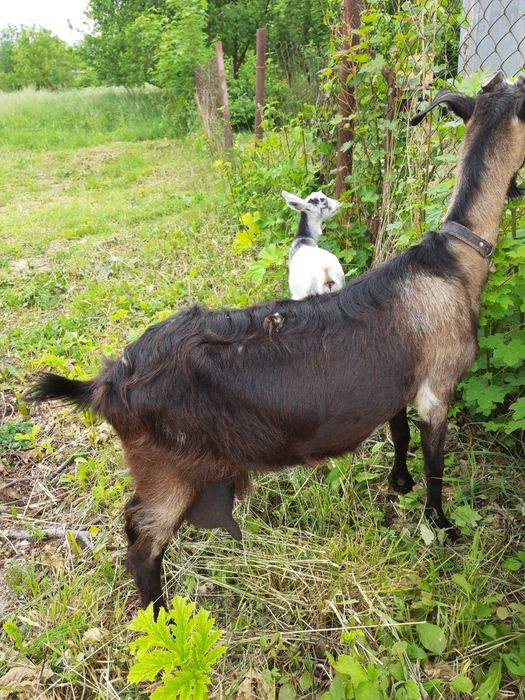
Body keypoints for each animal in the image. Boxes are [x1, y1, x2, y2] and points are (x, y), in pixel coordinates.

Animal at [28, 72, 525, 615]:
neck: (453, 262)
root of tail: (107, 382)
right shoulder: (438, 386)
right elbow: (436, 462)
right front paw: (442, 524)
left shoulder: (399, 382)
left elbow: (399, 435)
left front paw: (399, 483)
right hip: (168, 472)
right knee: (142, 545)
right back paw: (160, 618)